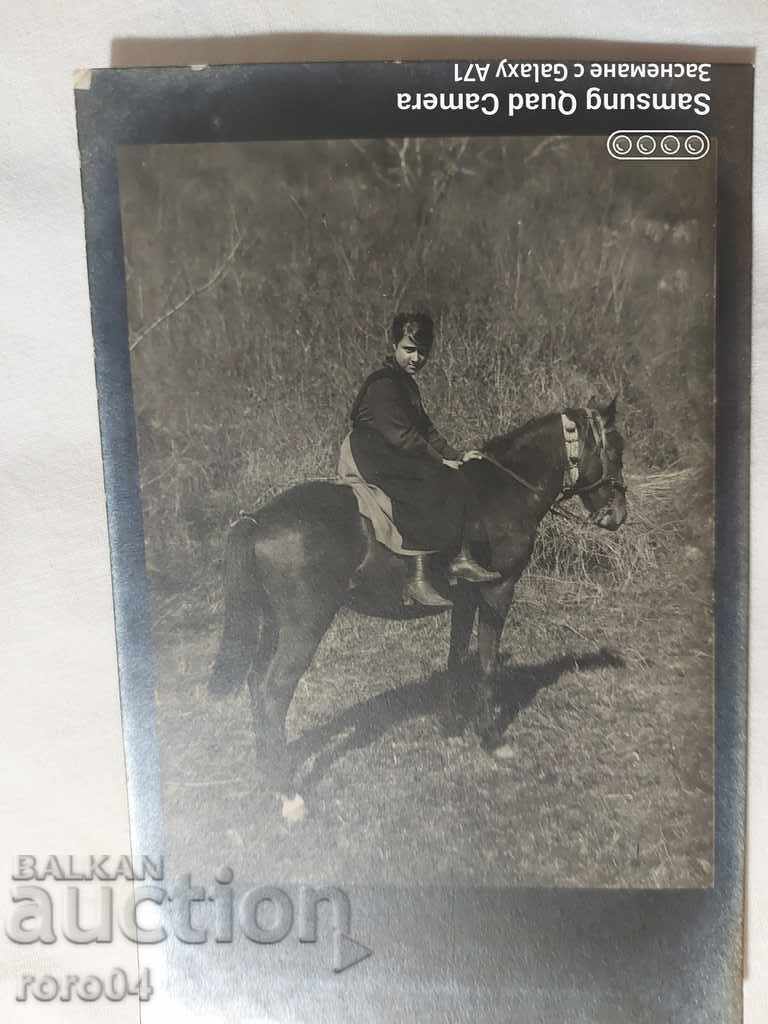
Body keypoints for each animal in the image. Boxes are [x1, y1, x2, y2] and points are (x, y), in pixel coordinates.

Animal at [209, 397, 627, 819]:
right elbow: (487, 663)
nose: (618, 514)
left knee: (256, 684)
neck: (504, 491)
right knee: (274, 691)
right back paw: (289, 794)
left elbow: (457, 657)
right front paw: (491, 738)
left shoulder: (466, 599)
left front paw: (452, 724)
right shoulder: (498, 590)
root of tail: (258, 520)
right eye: (613, 450)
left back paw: (268, 772)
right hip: (304, 626)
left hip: (272, 624)